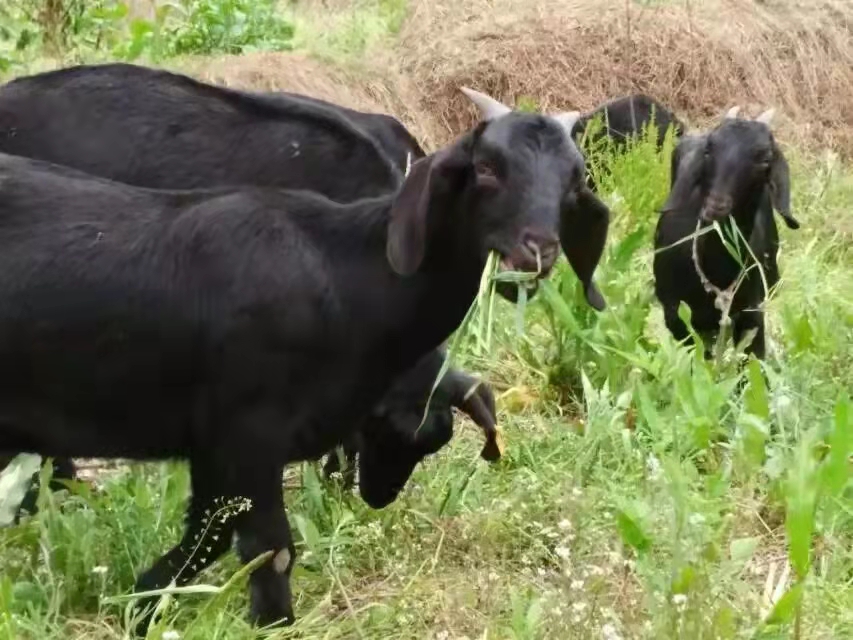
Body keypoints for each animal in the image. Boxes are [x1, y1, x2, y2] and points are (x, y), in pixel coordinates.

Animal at [0, 90, 612, 632]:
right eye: (486, 168)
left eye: (574, 179)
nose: (536, 249)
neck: (345, 275)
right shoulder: (249, 433)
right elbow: (269, 550)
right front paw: (270, 622)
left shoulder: (216, 445)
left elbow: (211, 533)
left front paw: (140, 601)